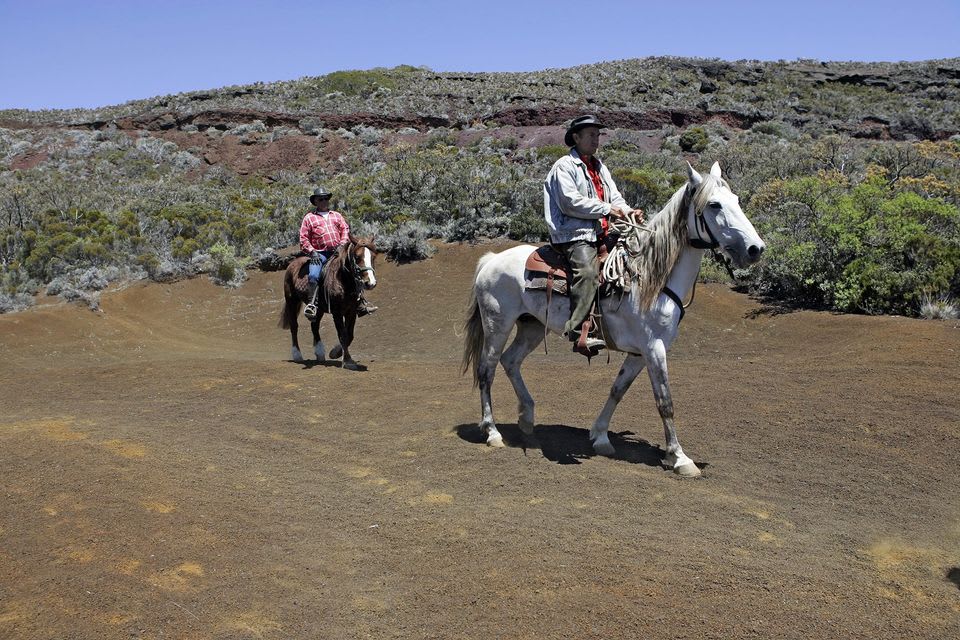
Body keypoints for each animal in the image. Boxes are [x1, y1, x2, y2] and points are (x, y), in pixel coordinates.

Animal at [280, 236, 376, 370]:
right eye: (357, 257)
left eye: (373, 256)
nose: (370, 283)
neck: (343, 280)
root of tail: (292, 264)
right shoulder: (337, 313)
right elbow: (343, 335)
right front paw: (347, 361)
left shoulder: (351, 311)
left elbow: (349, 335)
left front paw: (335, 353)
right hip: (292, 301)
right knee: (294, 326)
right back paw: (297, 355)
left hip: (318, 309)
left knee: (314, 326)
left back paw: (320, 353)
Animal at [462, 162, 768, 478]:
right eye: (714, 204)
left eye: (737, 201)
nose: (755, 249)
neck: (650, 279)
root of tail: (491, 259)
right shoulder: (654, 348)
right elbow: (665, 402)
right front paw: (680, 457)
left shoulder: (639, 353)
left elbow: (617, 390)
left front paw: (600, 437)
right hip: (497, 325)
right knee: (487, 370)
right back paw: (492, 432)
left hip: (532, 326)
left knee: (511, 361)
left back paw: (527, 418)